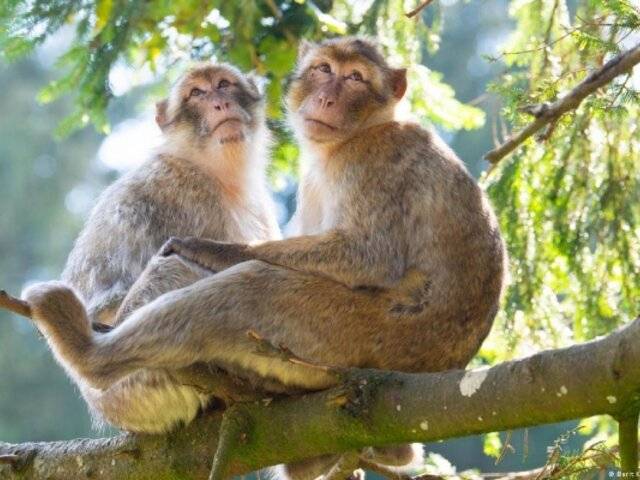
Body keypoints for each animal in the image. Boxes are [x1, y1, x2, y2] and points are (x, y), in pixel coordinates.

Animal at [17, 37, 506, 476]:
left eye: (355, 78)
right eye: (323, 70)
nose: (327, 97)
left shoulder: (372, 158)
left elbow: (368, 256)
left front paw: (211, 249)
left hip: (362, 337)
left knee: (243, 290)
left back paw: (90, 354)